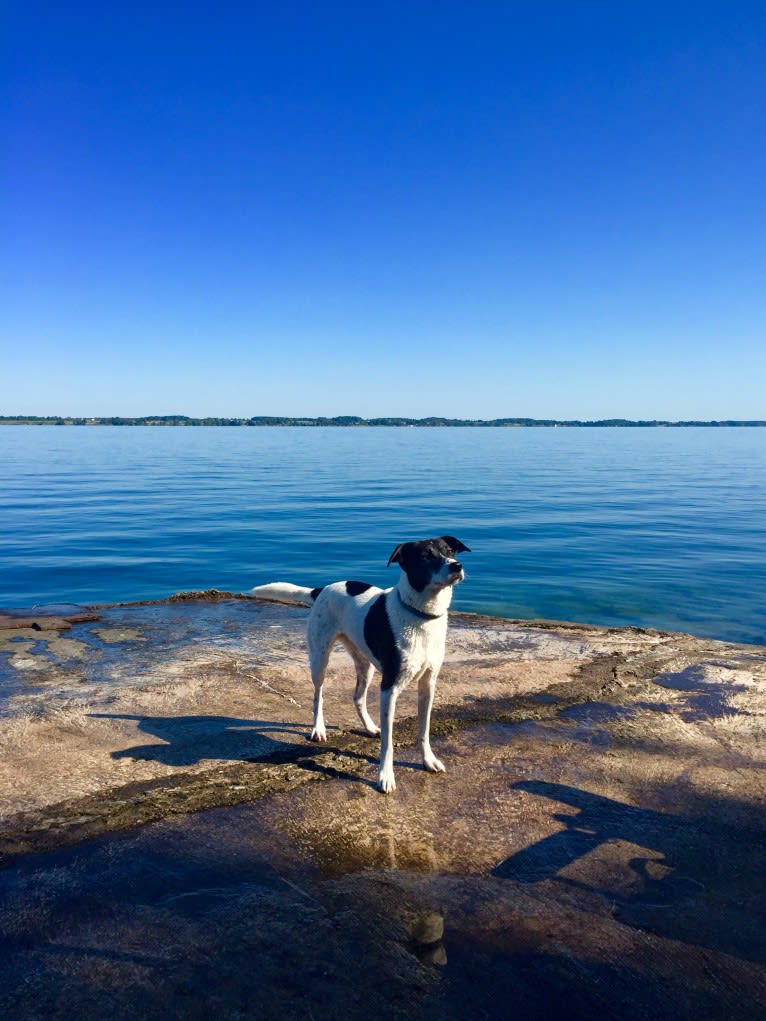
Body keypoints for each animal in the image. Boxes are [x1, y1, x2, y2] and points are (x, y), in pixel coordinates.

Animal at [249, 539, 471, 792]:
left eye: (450, 551)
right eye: (425, 556)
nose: (456, 566)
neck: (421, 615)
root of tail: (322, 589)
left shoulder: (428, 684)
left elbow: (424, 730)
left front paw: (428, 760)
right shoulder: (389, 687)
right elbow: (388, 742)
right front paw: (385, 776)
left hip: (366, 664)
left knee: (357, 697)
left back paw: (369, 726)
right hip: (319, 659)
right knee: (318, 695)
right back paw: (318, 728)